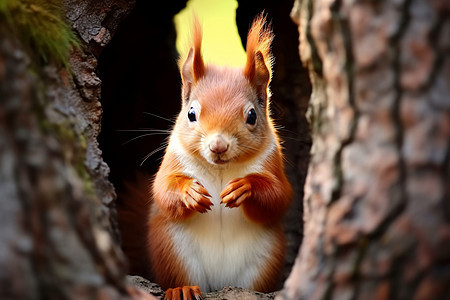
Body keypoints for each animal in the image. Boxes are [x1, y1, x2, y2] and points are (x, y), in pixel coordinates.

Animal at [149, 15, 294, 298]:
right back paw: (182, 289)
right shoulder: (173, 159)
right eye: (191, 114)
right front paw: (190, 192)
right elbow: (163, 189)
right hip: (173, 251)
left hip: (264, 259)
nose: (218, 146)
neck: (220, 169)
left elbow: (279, 196)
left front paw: (244, 187)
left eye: (252, 116)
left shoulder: (273, 162)